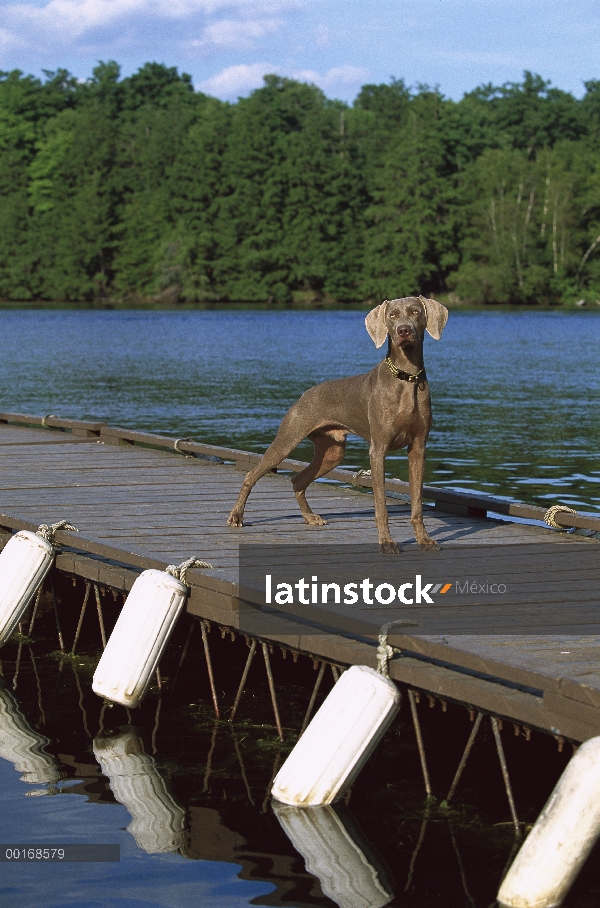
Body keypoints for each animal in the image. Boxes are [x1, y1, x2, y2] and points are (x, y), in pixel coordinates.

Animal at [227, 298, 448, 552]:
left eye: (415, 312)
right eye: (392, 315)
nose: (404, 330)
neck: (406, 378)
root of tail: (304, 394)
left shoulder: (418, 448)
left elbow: (417, 504)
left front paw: (424, 540)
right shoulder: (378, 449)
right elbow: (381, 504)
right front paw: (386, 542)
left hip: (332, 452)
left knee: (297, 480)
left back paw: (310, 517)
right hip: (288, 439)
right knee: (251, 474)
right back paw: (236, 516)